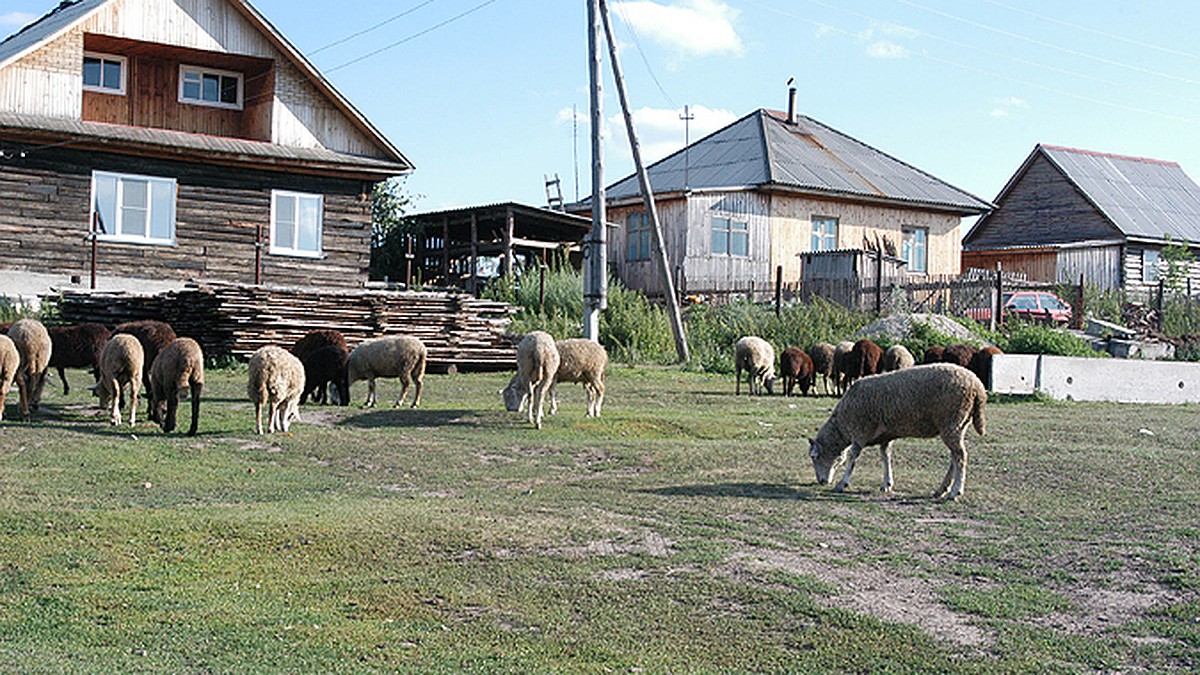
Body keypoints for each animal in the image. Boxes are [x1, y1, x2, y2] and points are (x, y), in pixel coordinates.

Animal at [806, 362, 984, 499]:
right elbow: (886, 457)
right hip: (959, 425)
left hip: (951, 422)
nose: (821, 481)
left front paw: (842, 483)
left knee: (960, 456)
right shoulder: (885, 436)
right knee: (955, 457)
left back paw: (955, 491)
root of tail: (978, 386)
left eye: (814, 457)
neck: (842, 427)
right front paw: (887, 483)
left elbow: (852, 458)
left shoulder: (860, 432)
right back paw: (941, 490)